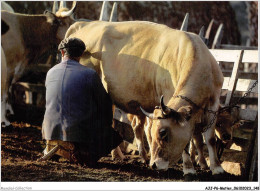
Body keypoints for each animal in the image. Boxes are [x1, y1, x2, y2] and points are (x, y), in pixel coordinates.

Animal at [65, 19, 225, 176]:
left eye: (162, 133)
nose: (154, 165)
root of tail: (85, 24)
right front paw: (188, 168)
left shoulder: (214, 103)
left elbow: (210, 138)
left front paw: (216, 168)